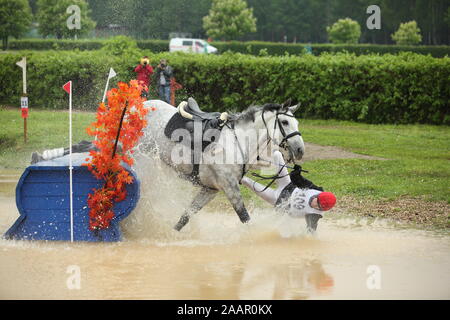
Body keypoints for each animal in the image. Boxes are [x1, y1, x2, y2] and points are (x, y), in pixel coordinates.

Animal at [139, 97, 304, 230]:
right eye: (285, 122)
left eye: (297, 123)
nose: (300, 150)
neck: (237, 142)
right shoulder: (230, 187)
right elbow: (245, 218)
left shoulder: (210, 189)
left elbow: (185, 217)